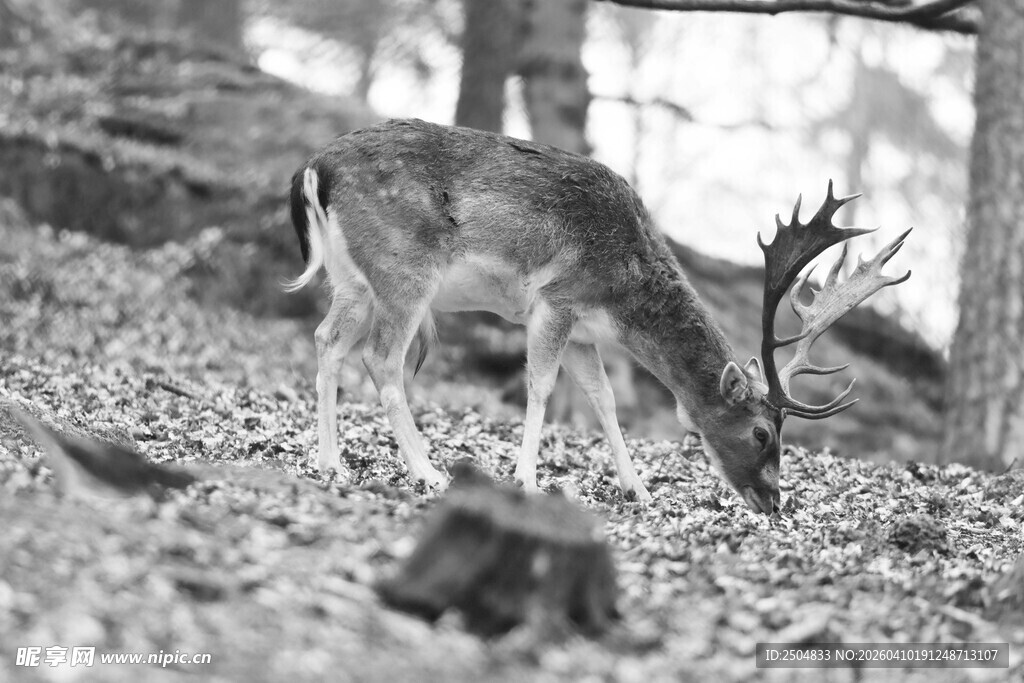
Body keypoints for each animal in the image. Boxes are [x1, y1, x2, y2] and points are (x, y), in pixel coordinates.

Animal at [285, 118, 911, 514]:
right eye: (761, 432)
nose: (774, 502)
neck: (622, 294)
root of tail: (314, 168)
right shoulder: (556, 299)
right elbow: (539, 387)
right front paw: (525, 479)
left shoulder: (586, 332)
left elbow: (604, 400)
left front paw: (639, 490)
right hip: (405, 271)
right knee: (381, 358)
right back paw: (428, 471)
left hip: (352, 280)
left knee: (326, 340)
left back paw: (331, 464)